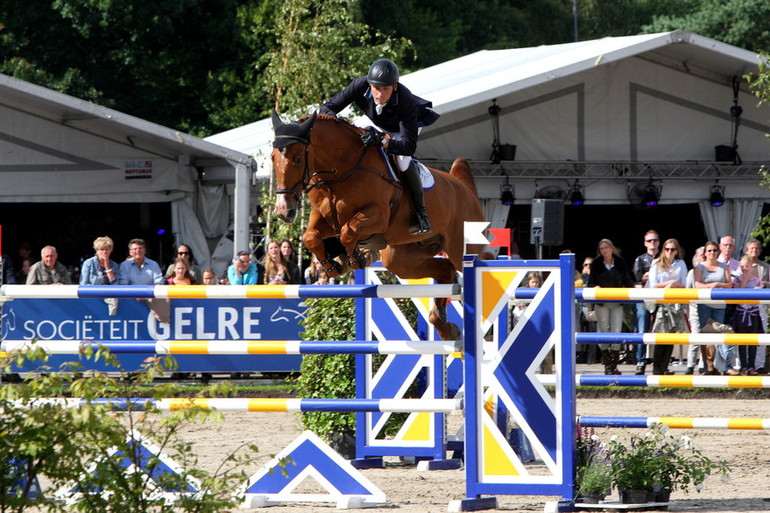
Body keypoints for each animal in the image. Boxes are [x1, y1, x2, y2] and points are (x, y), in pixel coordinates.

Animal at [270, 111, 484, 340]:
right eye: (273, 158)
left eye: (298, 159)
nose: (283, 211)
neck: (341, 169)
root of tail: (465, 189)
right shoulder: (323, 218)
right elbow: (311, 237)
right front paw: (335, 265)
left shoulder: (378, 215)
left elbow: (347, 232)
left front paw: (358, 258)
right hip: (402, 257)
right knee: (445, 270)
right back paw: (446, 328)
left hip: (460, 247)